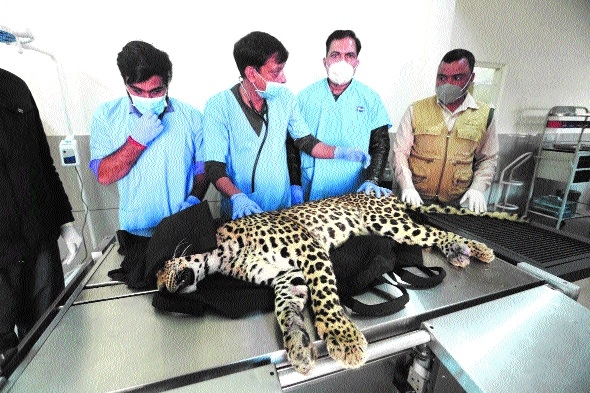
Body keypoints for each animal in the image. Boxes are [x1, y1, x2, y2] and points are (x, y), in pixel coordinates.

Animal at [156, 192, 524, 374]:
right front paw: (298, 345)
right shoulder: (286, 277)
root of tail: (384, 195)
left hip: (388, 223)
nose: (160, 286)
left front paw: (342, 338)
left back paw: (474, 248)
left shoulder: (309, 249)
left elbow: (325, 297)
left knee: (435, 232)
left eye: (161, 265)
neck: (226, 254)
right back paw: (460, 251)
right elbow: (285, 309)